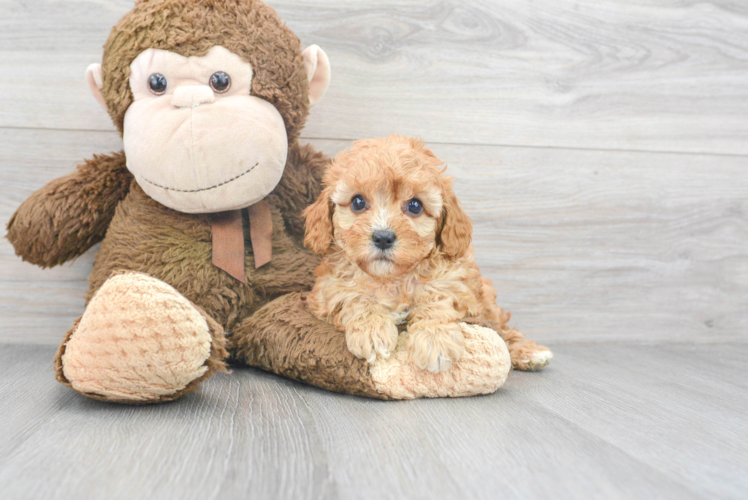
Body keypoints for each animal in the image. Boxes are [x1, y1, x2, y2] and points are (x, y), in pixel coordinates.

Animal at [304, 135, 556, 374]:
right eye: (357, 202)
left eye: (415, 206)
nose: (383, 237)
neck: (392, 279)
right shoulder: (327, 291)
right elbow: (354, 297)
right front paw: (372, 331)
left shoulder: (458, 284)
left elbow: (437, 299)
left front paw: (436, 341)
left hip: (488, 303)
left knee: (503, 328)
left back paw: (529, 352)